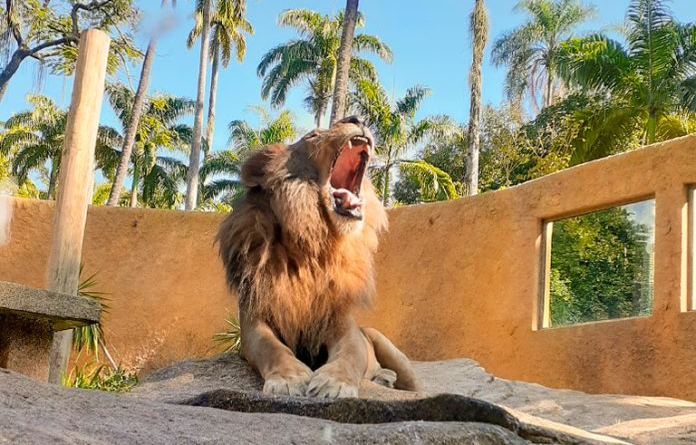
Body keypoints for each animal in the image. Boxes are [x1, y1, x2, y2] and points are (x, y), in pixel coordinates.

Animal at [218, 116, 422, 398]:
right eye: (312, 136)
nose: (357, 118)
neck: (313, 244)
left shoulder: (343, 324)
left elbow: (349, 356)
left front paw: (334, 384)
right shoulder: (252, 320)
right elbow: (271, 348)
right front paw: (289, 378)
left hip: (385, 344)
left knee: (413, 383)